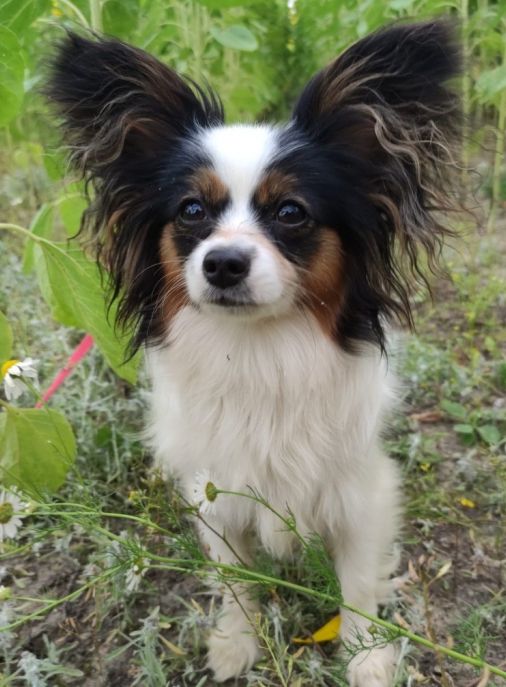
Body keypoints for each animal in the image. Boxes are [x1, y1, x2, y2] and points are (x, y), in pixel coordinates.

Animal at [48, 22, 462, 687]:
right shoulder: (218, 496)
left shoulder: (361, 493)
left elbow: (356, 586)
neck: (257, 351)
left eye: (291, 212)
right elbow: (236, 583)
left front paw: (366, 657)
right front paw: (237, 643)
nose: (222, 263)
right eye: (191, 210)